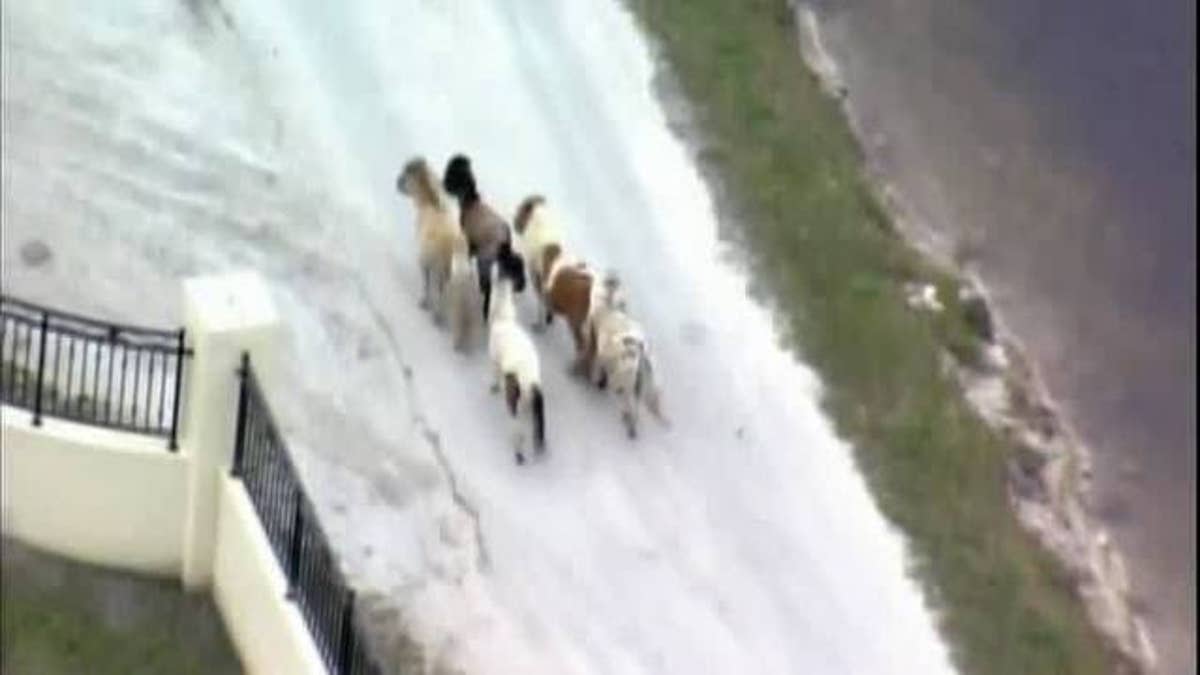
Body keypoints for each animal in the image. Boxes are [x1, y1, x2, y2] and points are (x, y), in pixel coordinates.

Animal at [397, 157, 477, 350]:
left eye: (406, 174)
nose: (397, 184)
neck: (430, 206)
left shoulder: (425, 262)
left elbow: (426, 283)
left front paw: (424, 303)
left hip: (444, 275)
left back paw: (438, 318)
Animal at [442, 154, 525, 321]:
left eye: (452, 174)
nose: (444, 183)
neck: (471, 202)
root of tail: (504, 239)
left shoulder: (471, 242)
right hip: (498, 257)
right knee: (514, 261)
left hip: (486, 258)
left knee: (487, 287)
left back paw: (486, 309)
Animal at [488, 249, 546, 464]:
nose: (523, 286)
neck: (503, 318)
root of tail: (532, 385)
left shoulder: (494, 361)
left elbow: (495, 377)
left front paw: (493, 388)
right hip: (530, 412)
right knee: (535, 433)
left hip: (517, 408)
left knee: (520, 431)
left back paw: (519, 455)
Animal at [585, 272, 667, 439]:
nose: (611, 278)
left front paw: (596, 381)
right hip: (640, 386)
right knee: (635, 405)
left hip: (626, 382)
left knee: (627, 401)